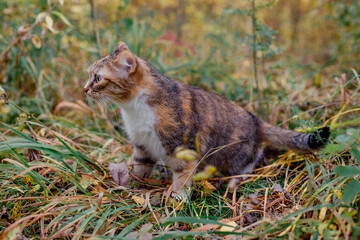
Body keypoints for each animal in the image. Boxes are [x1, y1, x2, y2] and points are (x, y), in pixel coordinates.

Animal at [83, 40, 330, 199]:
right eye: (90, 76)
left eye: (98, 78)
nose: (84, 89)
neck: (134, 109)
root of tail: (256, 119)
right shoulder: (141, 144)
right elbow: (140, 167)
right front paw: (135, 186)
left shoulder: (182, 147)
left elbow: (182, 175)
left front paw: (177, 197)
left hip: (232, 154)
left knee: (249, 160)